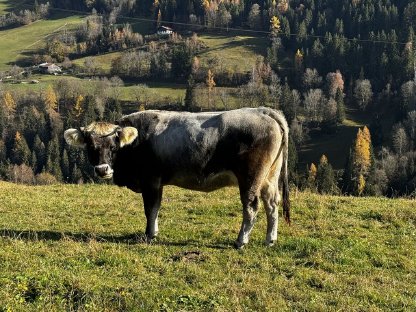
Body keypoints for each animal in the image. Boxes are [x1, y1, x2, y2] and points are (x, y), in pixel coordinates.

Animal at [66, 108, 292, 249]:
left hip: (250, 177)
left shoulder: (151, 180)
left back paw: (241, 241)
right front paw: (154, 232)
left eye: (114, 146)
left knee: (251, 206)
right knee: (272, 204)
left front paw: (149, 235)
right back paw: (270, 240)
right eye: (91, 146)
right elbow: (156, 208)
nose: (102, 169)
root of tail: (264, 111)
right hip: (269, 177)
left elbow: (151, 208)